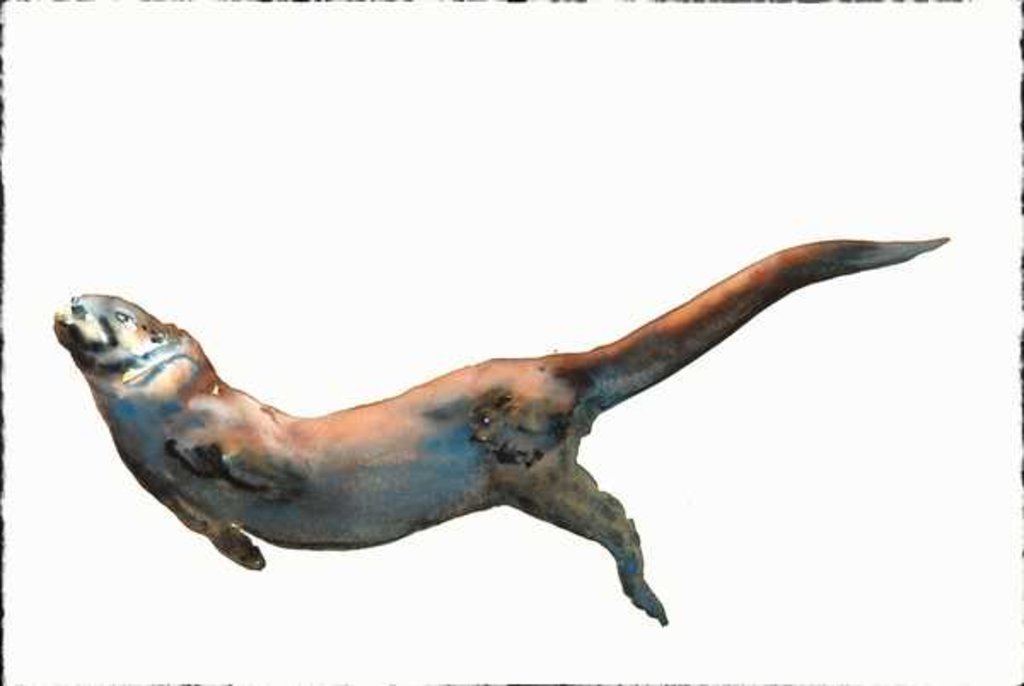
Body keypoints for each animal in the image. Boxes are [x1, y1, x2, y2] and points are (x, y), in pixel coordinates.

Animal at [54, 238, 946, 625]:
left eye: (121, 314)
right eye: (88, 302)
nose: (72, 302)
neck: (157, 421)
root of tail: (557, 364)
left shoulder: (238, 422)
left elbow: (251, 463)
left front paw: (240, 475)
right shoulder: (160, 490)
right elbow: (202, 522)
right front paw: (248, 555)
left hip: (540, 459)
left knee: (617, 515)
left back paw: (643, 594)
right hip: (542, 486)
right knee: (614, 514)